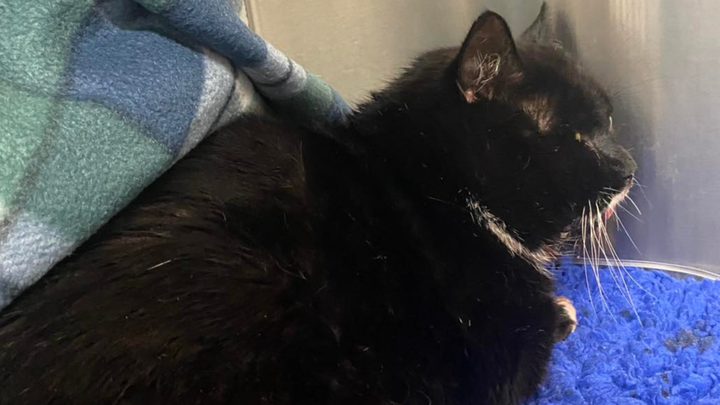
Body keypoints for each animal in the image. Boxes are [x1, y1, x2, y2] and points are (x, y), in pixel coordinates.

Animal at [0, 6, 636, 405]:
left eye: (608, 123)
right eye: (578, 136)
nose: (630, 165)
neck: (431, 183)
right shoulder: (493, 355)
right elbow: (539, 331)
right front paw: (562, 308)